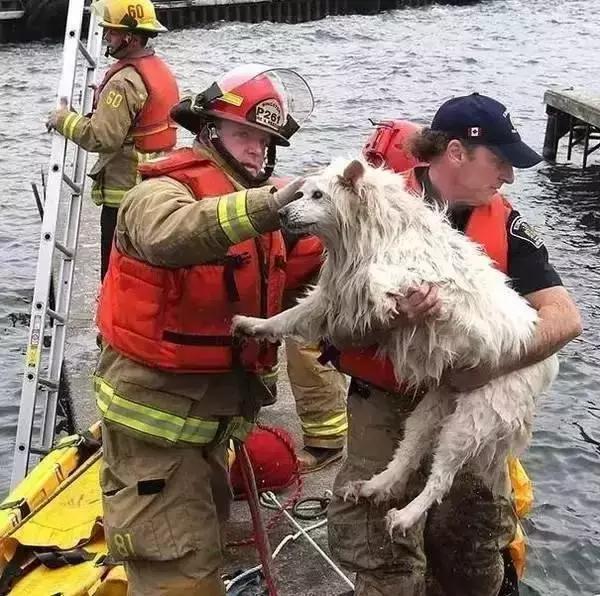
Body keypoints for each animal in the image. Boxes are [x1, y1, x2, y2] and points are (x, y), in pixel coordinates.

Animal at [233, 158, 556, 536]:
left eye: (318, 195)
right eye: (300, 193)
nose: (281, 212)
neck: (368, 231)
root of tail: (545, 366)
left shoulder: (412, 276)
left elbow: (391, 282)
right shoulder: (333, 294)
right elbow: (289, 316)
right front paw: (253, 325)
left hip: (474, 417)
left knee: (441, 477)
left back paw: (407, 514)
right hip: (435, 404)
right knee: (409, 452)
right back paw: (374, 486)